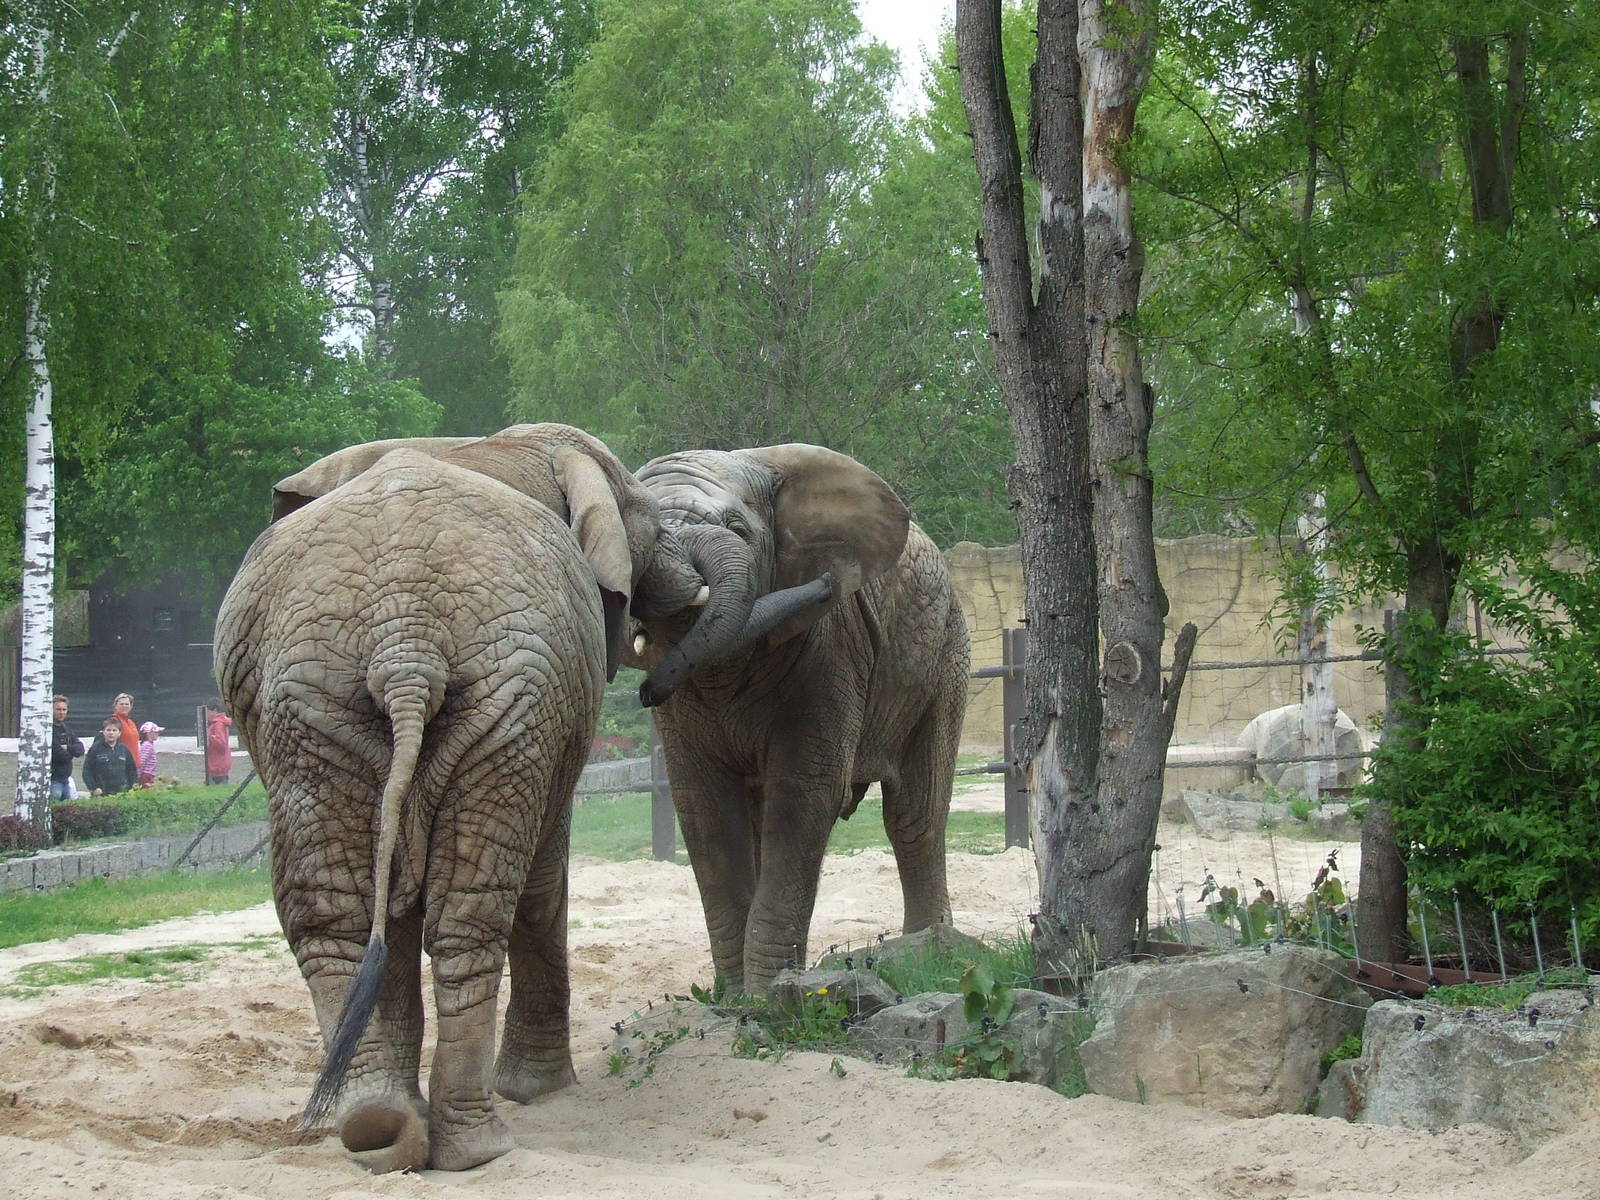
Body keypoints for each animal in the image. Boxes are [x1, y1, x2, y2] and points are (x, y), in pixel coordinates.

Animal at [213, 423, 805, 1172]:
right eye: (644, 522)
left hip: (324, 701)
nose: (648, 689)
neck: (487, 446)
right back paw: (475, 1144)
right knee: (471, 905)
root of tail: (403, 644)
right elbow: (543, 868)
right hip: (471, 700)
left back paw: (382, 1132)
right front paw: (541, 1091)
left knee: (345, 917)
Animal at [625, 445, 971, 995]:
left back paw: (926, 949)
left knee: (915, 813)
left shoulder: (833, 642)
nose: (644, 693)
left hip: (945, 656)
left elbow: (804, 792)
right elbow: (704, 807)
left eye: (736, 527)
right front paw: (735, 997)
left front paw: (768, 994)